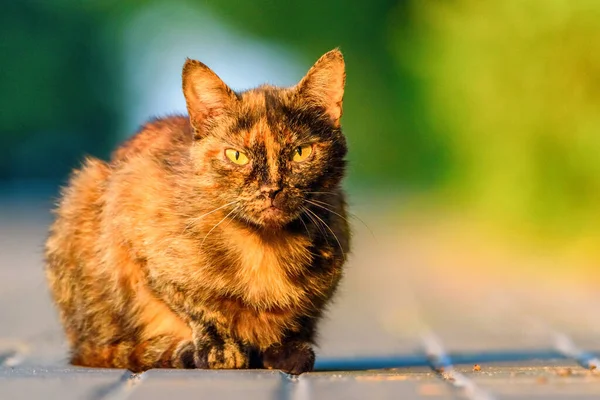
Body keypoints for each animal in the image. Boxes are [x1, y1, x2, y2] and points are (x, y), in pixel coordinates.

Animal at [45, 50, 352, 376]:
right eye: (236, 155)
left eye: (300, 152)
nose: (271, 189)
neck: (265, 246)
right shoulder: (136, 223)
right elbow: (197, 306)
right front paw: (219, 349)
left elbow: (300, 318)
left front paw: (287, 349)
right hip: (85, 190)